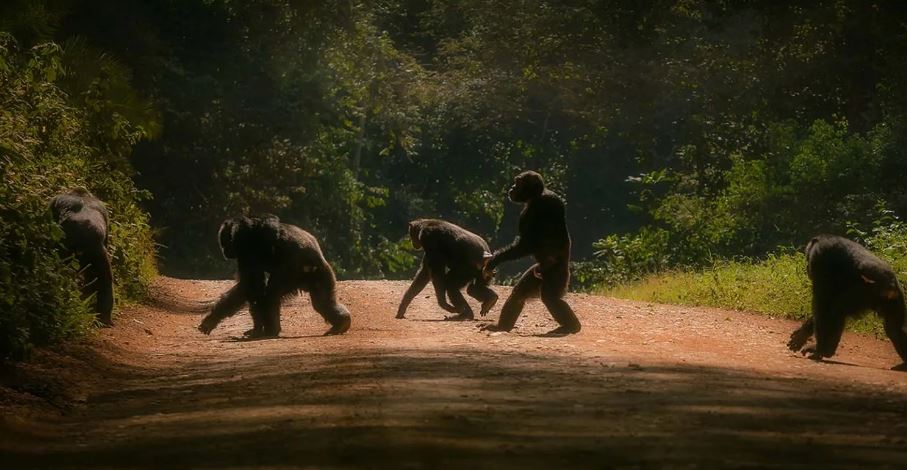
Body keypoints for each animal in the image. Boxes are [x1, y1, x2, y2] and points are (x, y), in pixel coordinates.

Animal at [199, 215, 352, 340]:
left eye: (224, 241)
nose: (224, 251)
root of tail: (315, 261)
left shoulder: (247, 250)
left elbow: (251, 285)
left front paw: (212, 319)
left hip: (292, 272)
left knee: (271, 295)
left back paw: (270, 330)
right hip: (320, 275)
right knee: (323, 302)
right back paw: (341, 323)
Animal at [482, 169, 580, 334]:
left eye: (518, 182)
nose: (512, 187)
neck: (535, 197)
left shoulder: (533, 211)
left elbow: (527, 244)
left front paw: (494, 260)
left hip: (557, 275)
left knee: (551, 298)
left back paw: (571, 326)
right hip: (537, 273)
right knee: (519, 294)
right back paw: (502, 326)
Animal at [788, 235, 907, 368]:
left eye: (808, 257)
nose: (807, 267)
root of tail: (890, 288)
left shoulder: (818, 257)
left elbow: (823, 303)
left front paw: (815, 345)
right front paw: (802, 333)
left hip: (866, 293)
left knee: (836, 310)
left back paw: (824, 350)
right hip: (894, 300)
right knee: (895, 329)